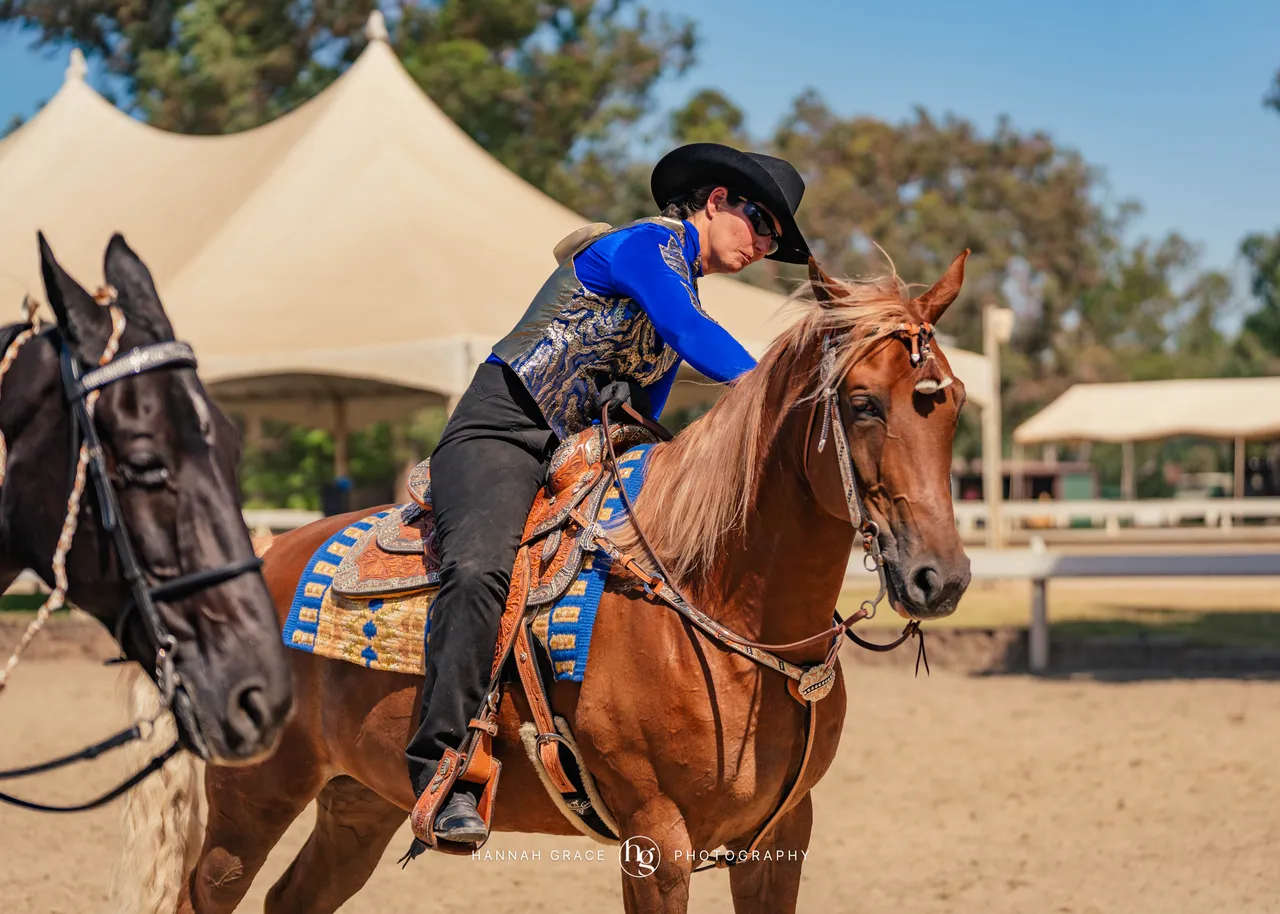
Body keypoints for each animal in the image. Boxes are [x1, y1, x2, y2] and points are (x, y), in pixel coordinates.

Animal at [114, 251, 973, 914]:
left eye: (953, 405)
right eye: (862, 404)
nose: (941, 577)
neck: (718, 606)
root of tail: (260, 558)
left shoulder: (781, 838)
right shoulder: (656, 841)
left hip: (358, 801)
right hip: (251, 798)